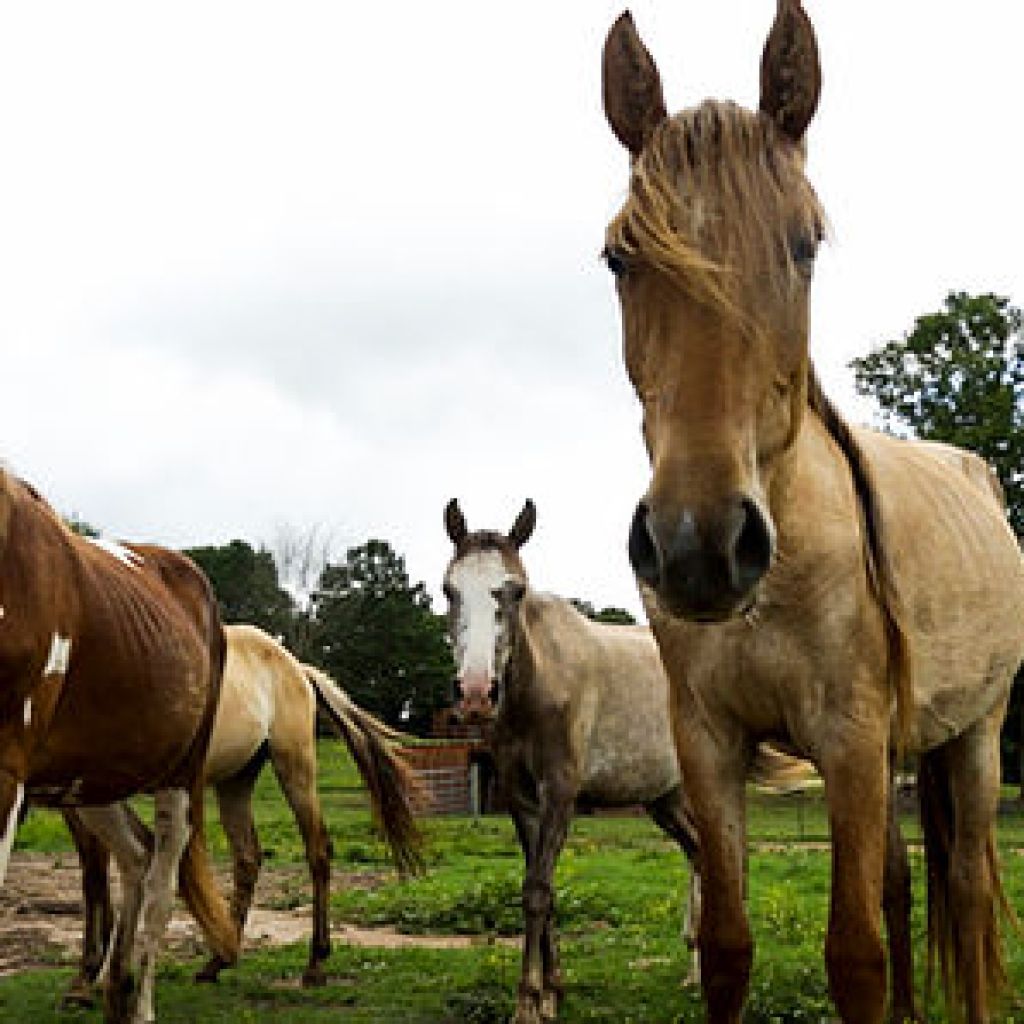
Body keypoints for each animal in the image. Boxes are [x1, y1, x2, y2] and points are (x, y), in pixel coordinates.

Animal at [0, 470, 238, 1023]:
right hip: (93, 784)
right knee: (133, 856)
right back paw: (113, 989)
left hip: (179, 778)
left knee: (159, 889)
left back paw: (139, 1004)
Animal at [65, 622, 423, 1000]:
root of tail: (298, 669)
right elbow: (98, 872)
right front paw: (91, 976)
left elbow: (98, 874)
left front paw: (89, 976)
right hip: (235, 781)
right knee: (248, 857)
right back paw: (217, 962)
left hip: (294, 766)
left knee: (318, 852)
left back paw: (315, 964)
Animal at [442, 498, 817, 1024]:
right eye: (449, 589)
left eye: (515, 591)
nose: (476, 694)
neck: (539, 684)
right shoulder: (520, 798)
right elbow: (544, 890)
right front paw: (553, 990)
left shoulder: (561, 792)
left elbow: (537, 891)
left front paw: (528, 1002)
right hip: (666, 800)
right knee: (701, 856)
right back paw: (696, 973)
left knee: (726, 860)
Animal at [600, 4, 1024, 1023]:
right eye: (619, 258)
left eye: (805, 245)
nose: (699, 545)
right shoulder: (709, 741)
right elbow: (727, 944)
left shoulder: (851, 736)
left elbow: (856, 954)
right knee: (908, 883)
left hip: (977, 736)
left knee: (966, 890)